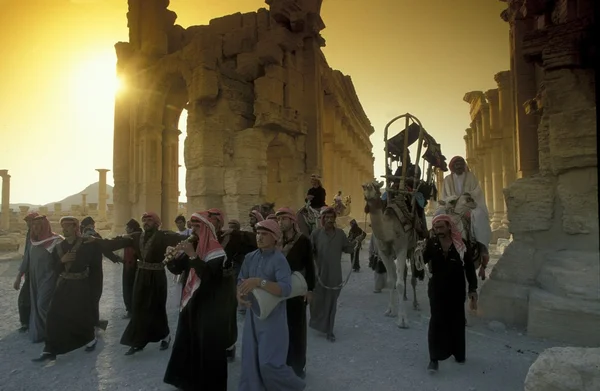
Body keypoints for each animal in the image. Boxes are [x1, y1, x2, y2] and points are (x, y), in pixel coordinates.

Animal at [360, 182, 418, 330]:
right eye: (364, 186)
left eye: (376, 187)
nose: (367, 189)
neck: (388, 231)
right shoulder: (384, 253)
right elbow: (392, 280)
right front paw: (390, 311)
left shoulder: (401, 247)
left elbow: (399, 284)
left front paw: (403, 321)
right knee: (404, 273)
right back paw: (404, 298)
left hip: (414, 246)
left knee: (413, 276)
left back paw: (415, 303)